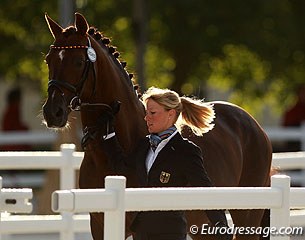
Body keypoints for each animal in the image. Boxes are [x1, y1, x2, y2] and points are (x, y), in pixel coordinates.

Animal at [42, 12, 270, 239]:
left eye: (79, 61)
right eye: (48, 60)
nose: (52, 112)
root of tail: (254, 126)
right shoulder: (99, 223)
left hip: (247, 215)